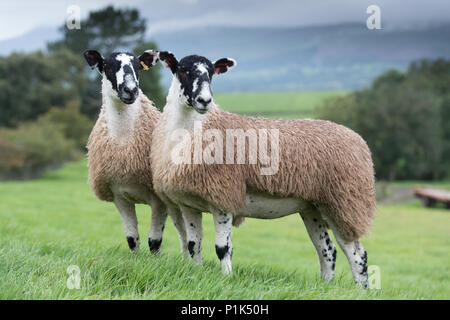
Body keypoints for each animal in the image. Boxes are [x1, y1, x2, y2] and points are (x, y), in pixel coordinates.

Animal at [83, 49, 187, 255]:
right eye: (107, 66)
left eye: (138, 67)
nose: (130, 90)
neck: (124, 143)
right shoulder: (119, 197)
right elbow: (132, 238)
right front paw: (136, 258)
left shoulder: (158, 199)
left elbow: (154, 241)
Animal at [149, 50, 376, 288]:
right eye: (182, 70)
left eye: (211, 74)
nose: (204, 101)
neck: (193, 129)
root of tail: (359, 140)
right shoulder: (188, 203)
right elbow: (194, 245)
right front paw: (196, 273)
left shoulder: (224, 197)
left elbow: (223, 248)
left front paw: (226, 279)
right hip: (313, 207)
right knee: (328, 251)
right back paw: (324, 287)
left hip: (344, 202)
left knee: (357, 253)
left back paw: (361, 290)